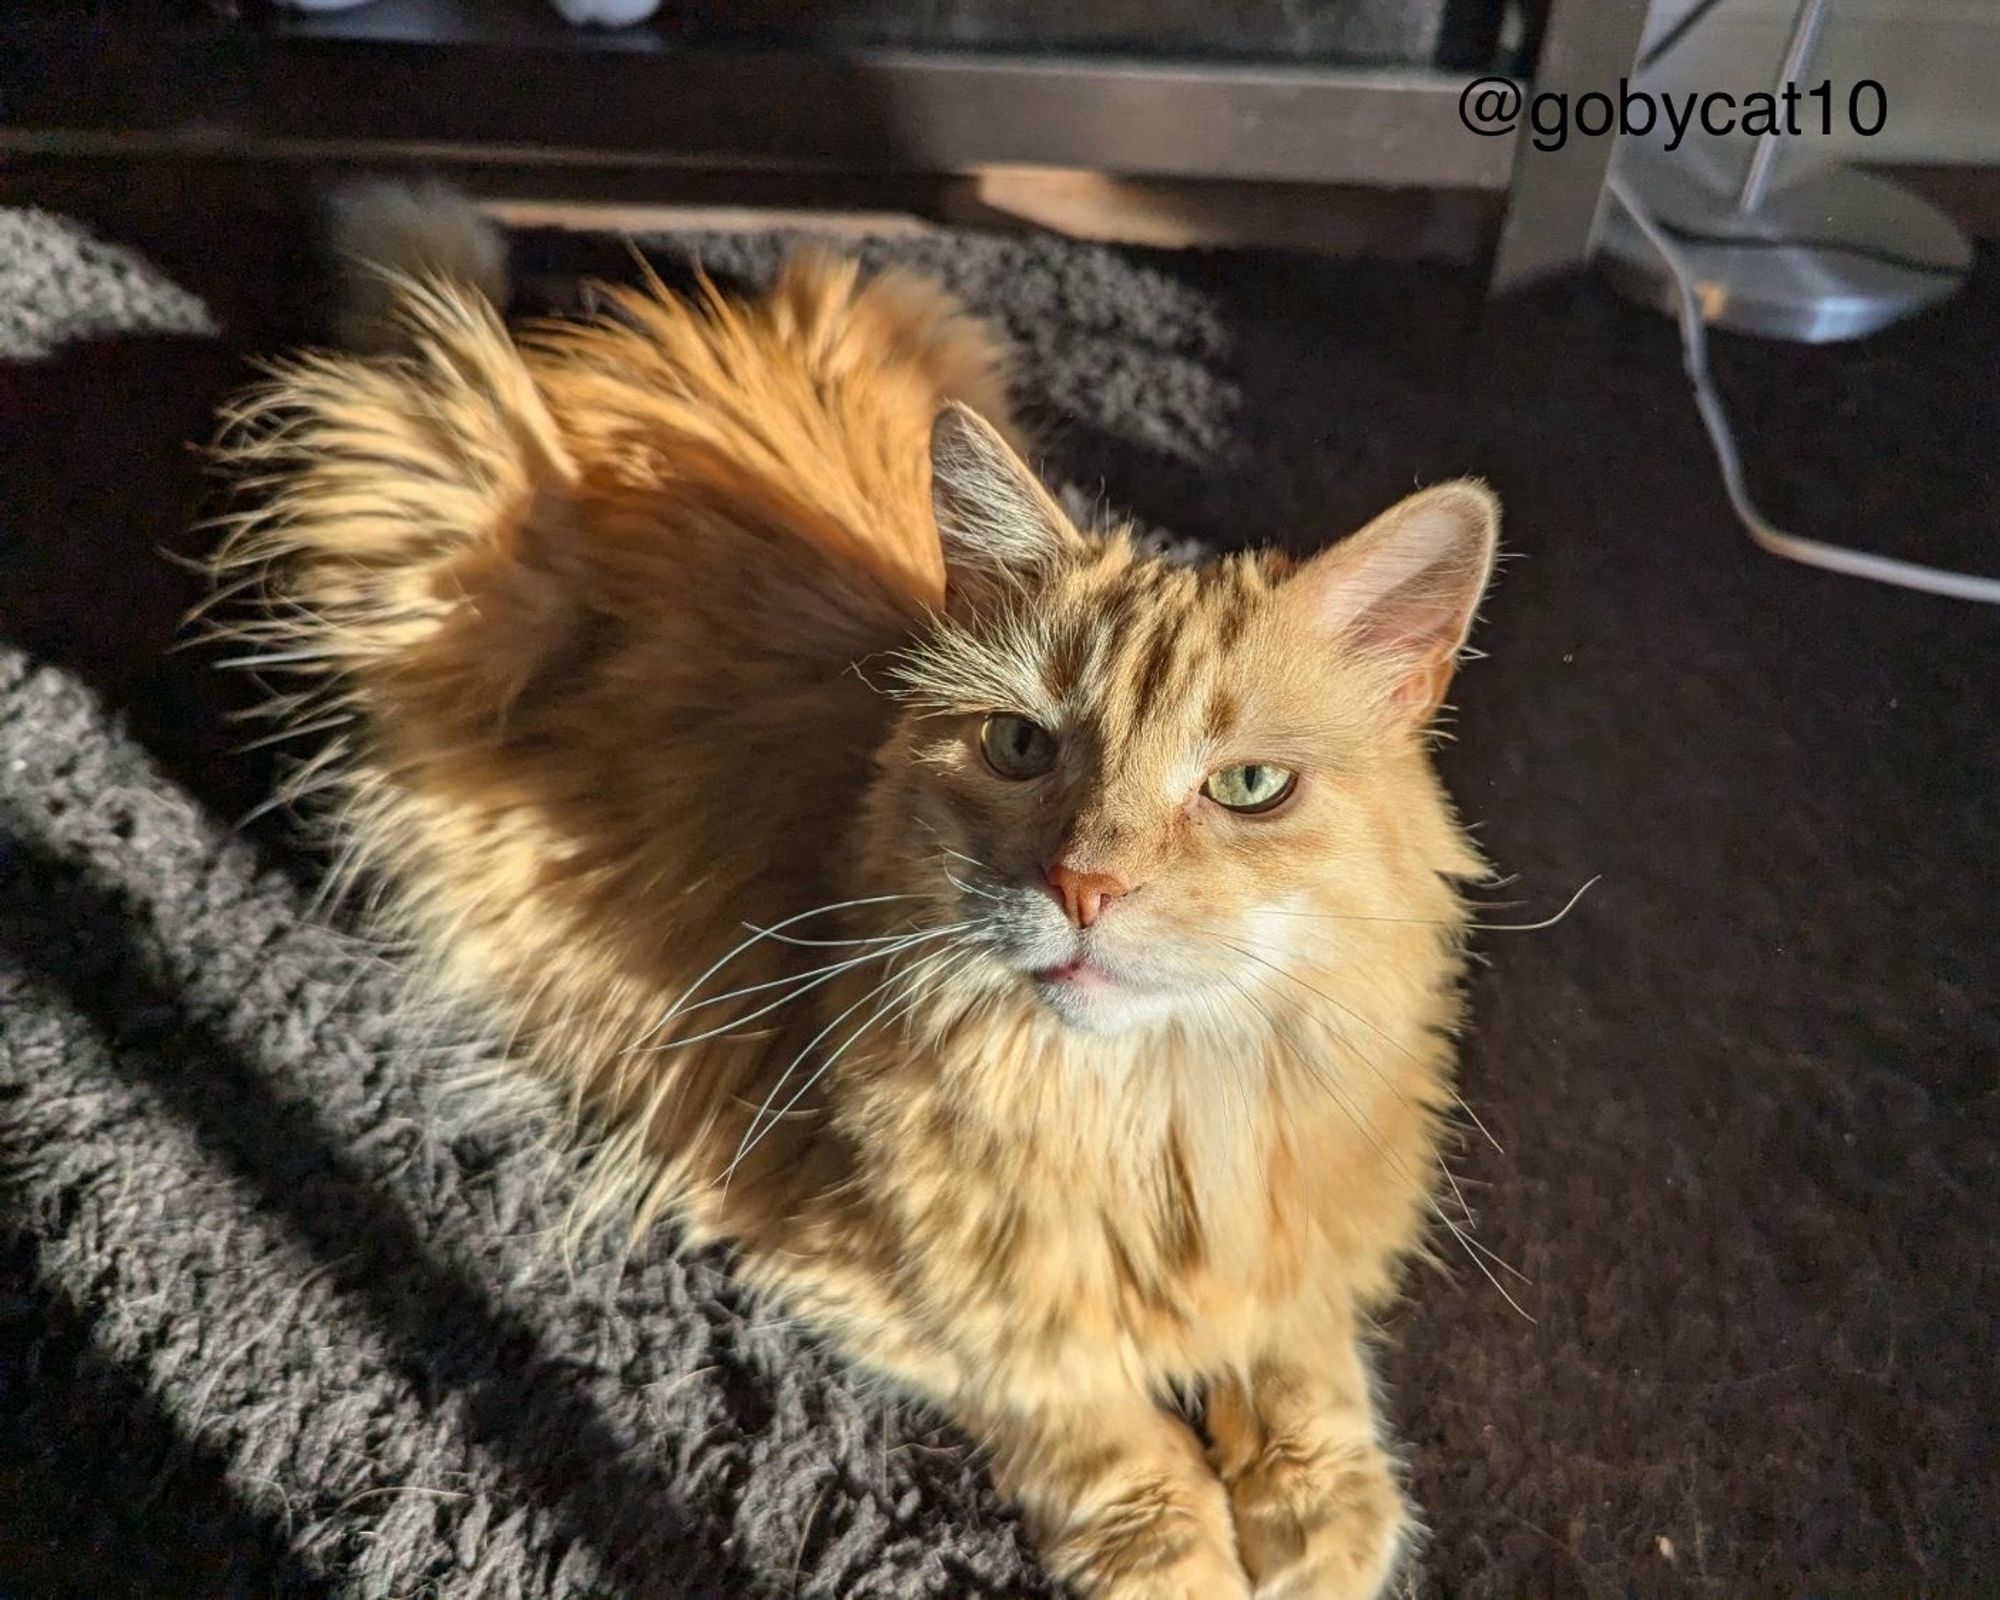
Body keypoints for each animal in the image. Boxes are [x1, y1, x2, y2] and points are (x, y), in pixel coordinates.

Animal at [219, 191, 1504, 1600]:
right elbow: (1086, 1413)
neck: (1152, 1116)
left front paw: (1321, 1512)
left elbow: (1307, 1352)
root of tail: (571, 351)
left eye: (1250, 785)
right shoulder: (862, 1264)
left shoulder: (1302, 1230)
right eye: (1019, 746)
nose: (1084, 884)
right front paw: (1180, 1547)